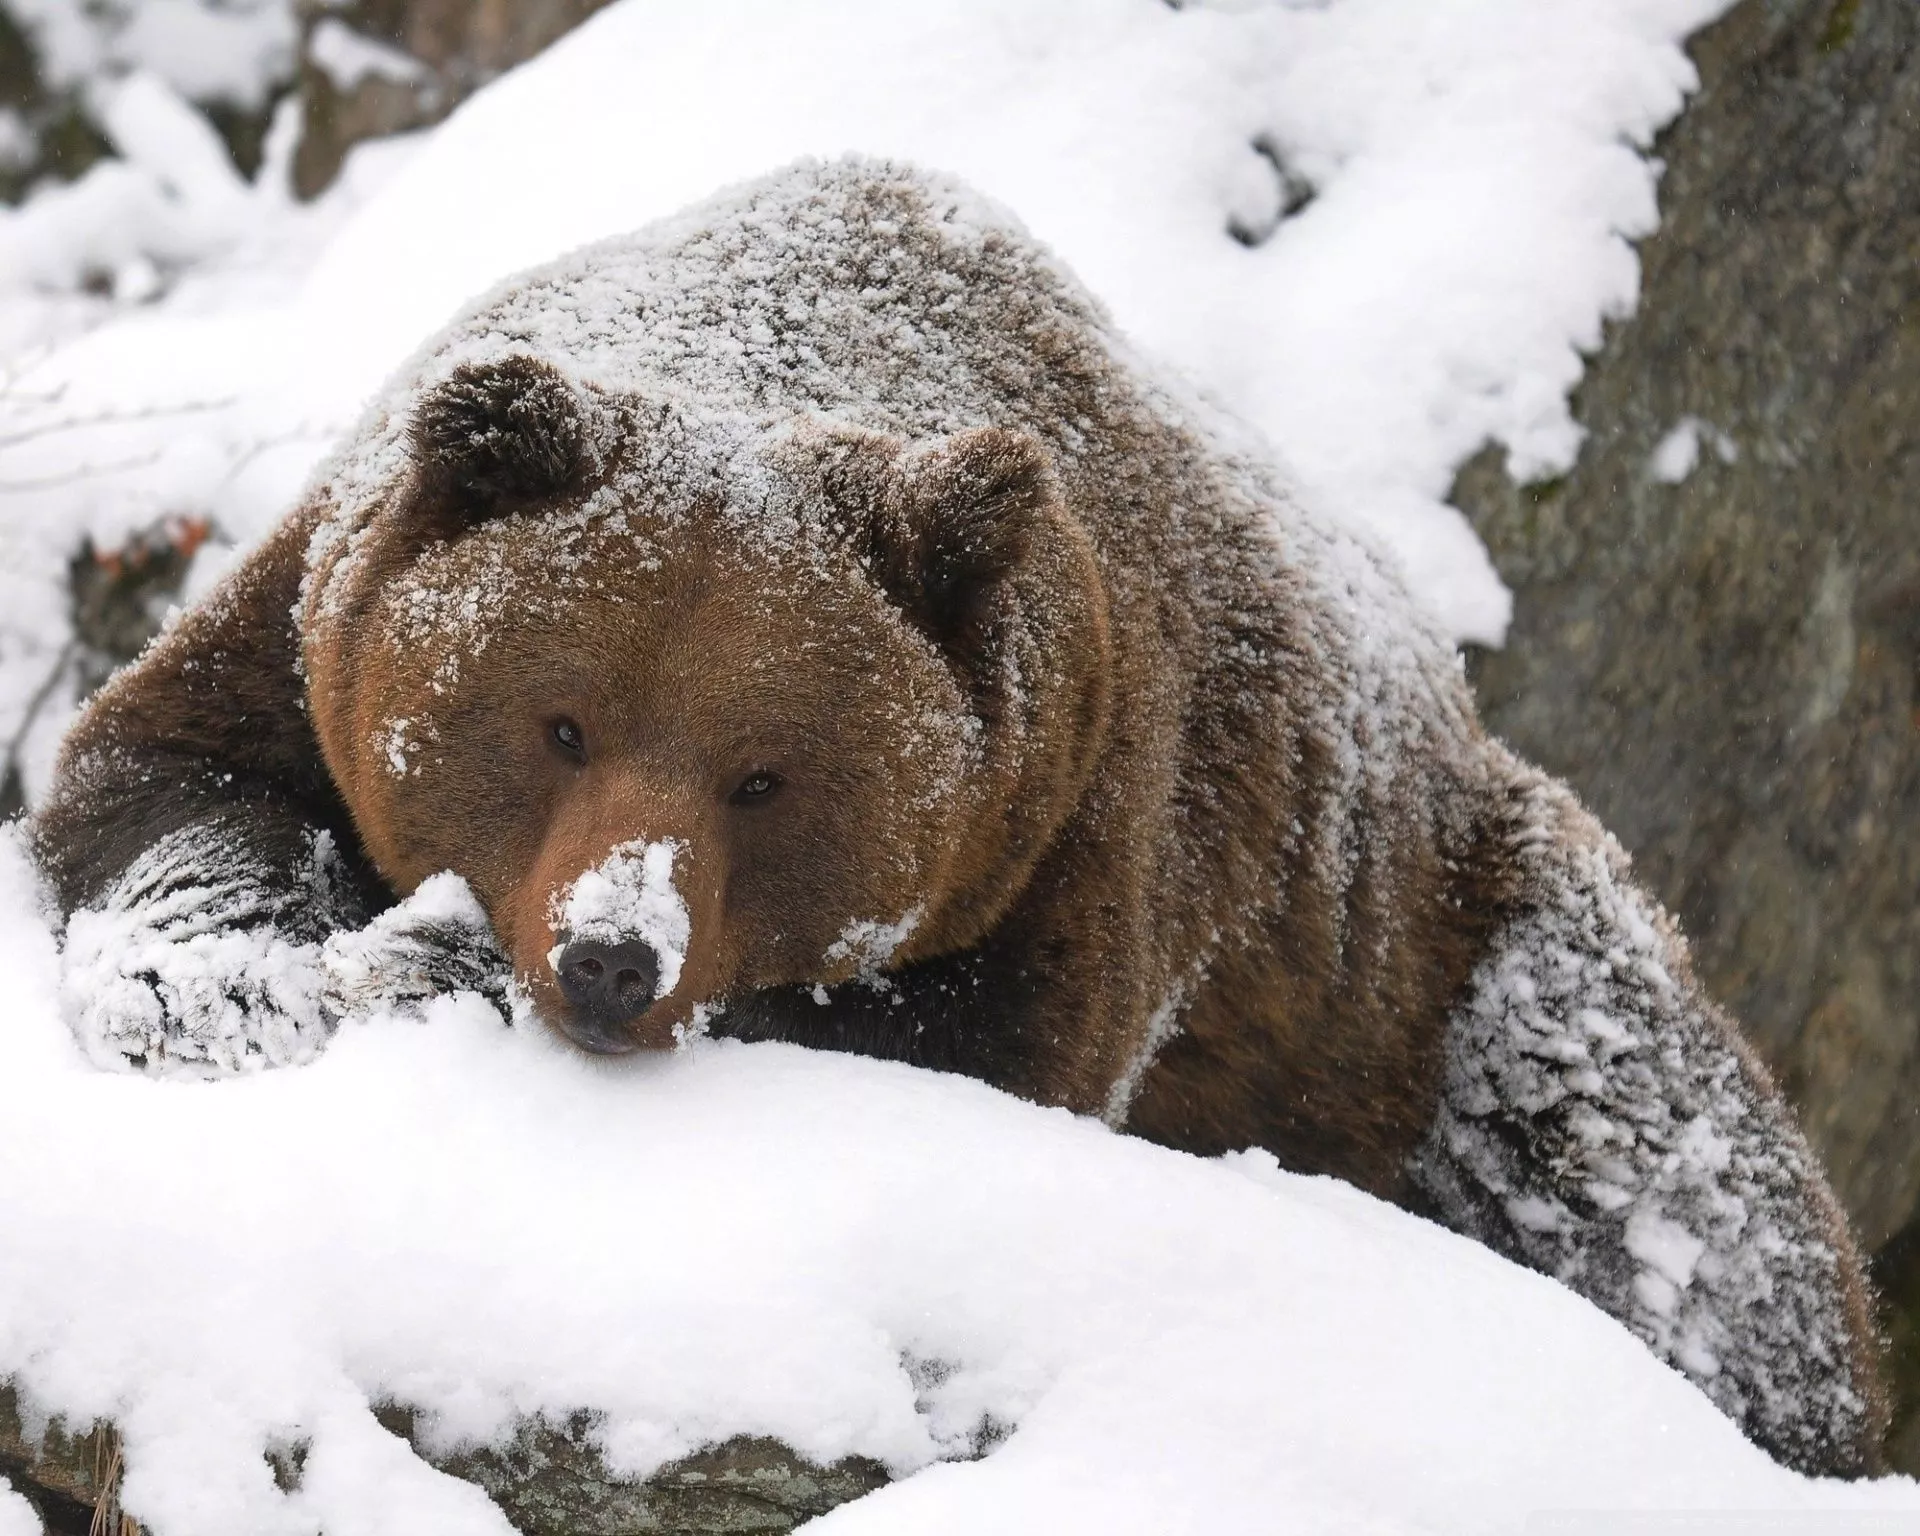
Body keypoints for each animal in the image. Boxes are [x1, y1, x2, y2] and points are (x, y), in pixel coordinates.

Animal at [30, 157, 1885, 1477]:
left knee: (1665, 1186)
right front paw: (242, 977)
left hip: (1444, 959)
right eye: (559, 721)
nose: (615, 956)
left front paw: (434, 964)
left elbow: (965, 1050)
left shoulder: (1083, 820)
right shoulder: (309, 617)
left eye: (765, 773)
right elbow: (163, 783)